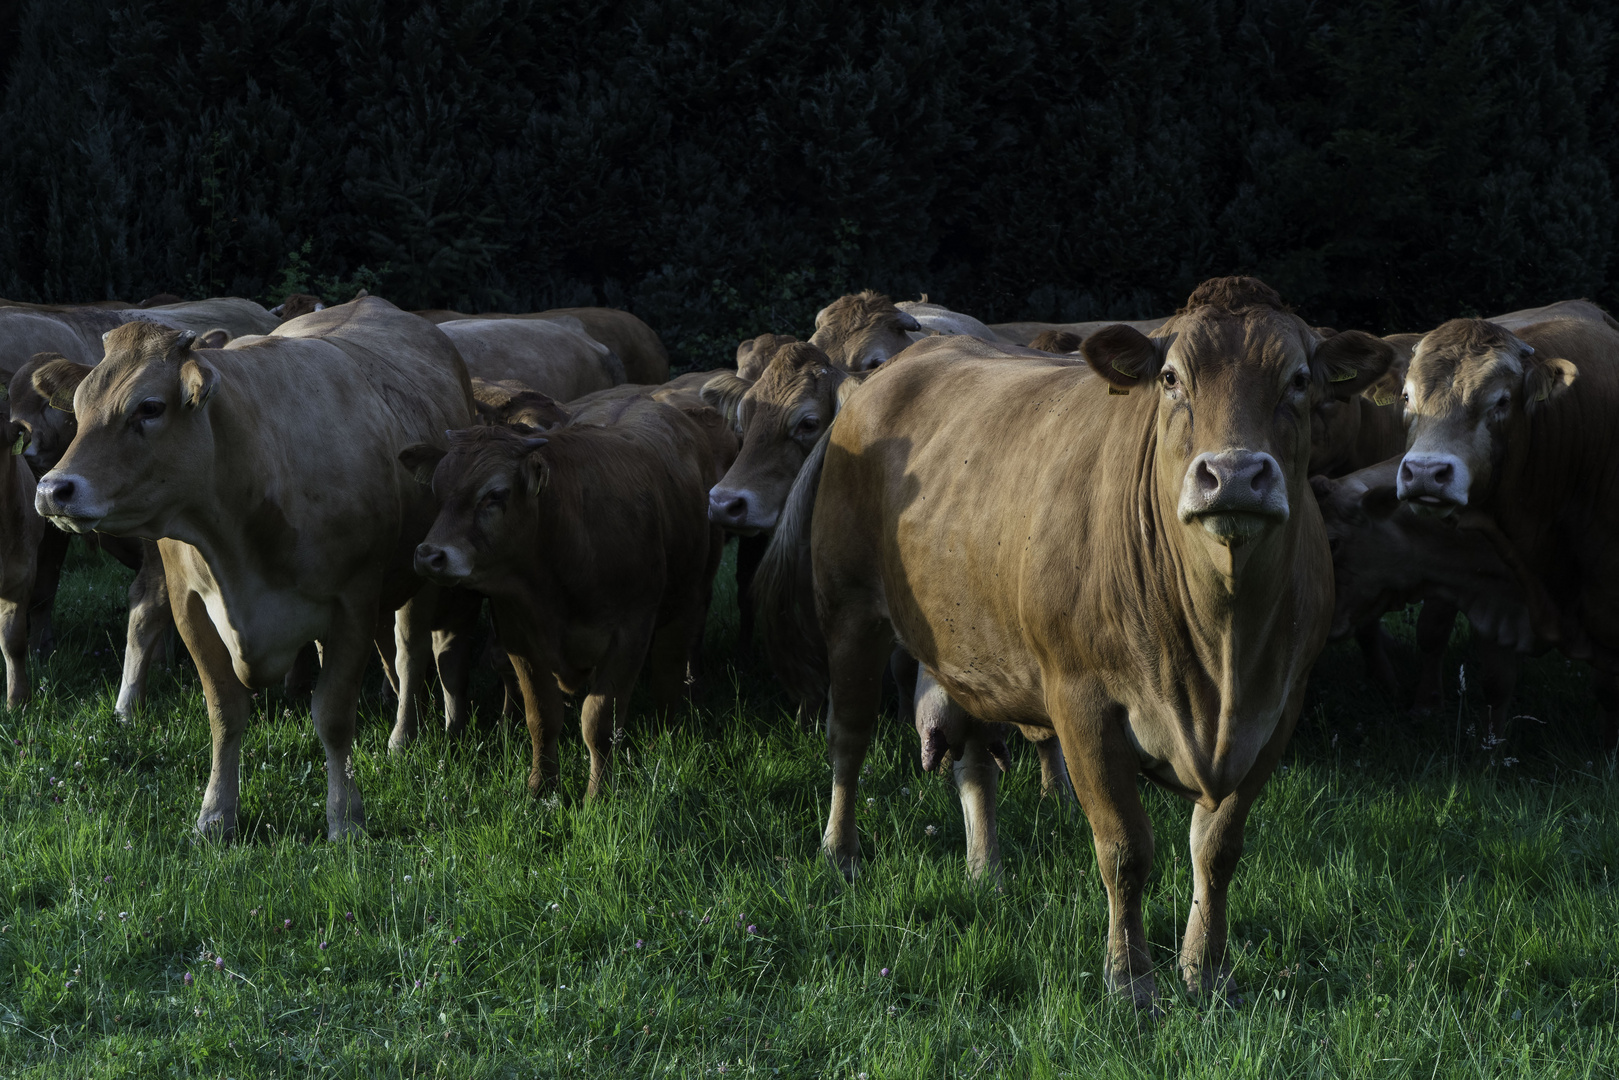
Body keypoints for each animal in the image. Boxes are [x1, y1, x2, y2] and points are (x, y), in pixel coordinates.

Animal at [34, 299, 472, 841]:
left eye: (149, 408)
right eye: (78, 408)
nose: (53, 490)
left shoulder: (354, 601)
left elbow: (334, 715)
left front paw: (345, 818)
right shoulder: (191, 606)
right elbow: (224, 711)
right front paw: (216, 815)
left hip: (420, 574)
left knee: (410, 652)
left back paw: (401, 737)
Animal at [401, 393, 731, 799]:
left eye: (495, 494)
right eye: (438, 491)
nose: (429, 555)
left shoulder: (630, 634)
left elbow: (598, 720)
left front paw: (598, 794)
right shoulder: (519, 636)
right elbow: (542, 716)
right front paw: (540, 788)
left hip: (687, 602)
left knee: (667, 677)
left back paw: (665, 740)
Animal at [757, 278, 1392, 1003]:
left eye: (1299, 380)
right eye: (1171, 379)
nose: (1232, 474)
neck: (1221, 657)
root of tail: (890, 369)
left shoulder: (1277, 709)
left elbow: (1217, 849)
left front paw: (1205, 970)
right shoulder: (1082, 702)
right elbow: (1124, 849)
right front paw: (1130, 980)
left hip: (972, 643)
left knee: (972, 759)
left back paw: (986, 870)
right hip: (850, 610)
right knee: (849, 738)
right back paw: (841, 853)